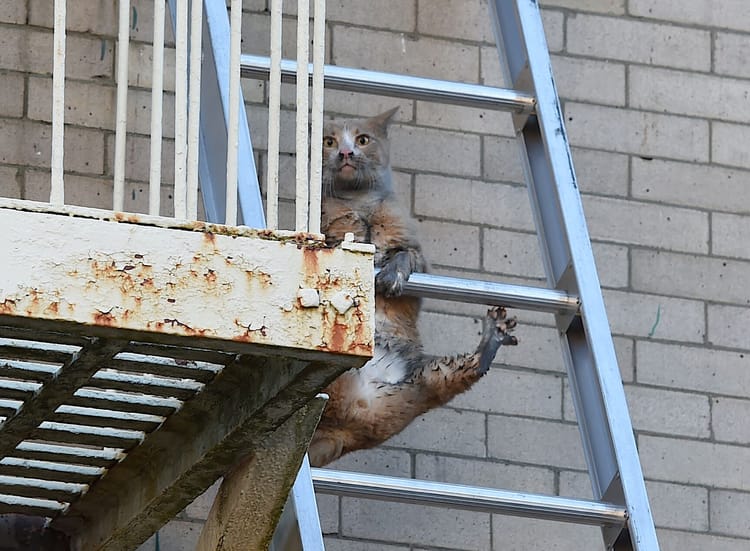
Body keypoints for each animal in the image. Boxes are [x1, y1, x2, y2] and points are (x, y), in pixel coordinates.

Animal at [308, 109, 520, 470]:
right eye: (329, 141)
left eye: (362, 139)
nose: (346, 153)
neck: (360, 202)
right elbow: (338, 240)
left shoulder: (414, 254)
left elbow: (403, 256)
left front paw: (390, 276)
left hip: (425, 380)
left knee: (471, 368)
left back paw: (496, 333)